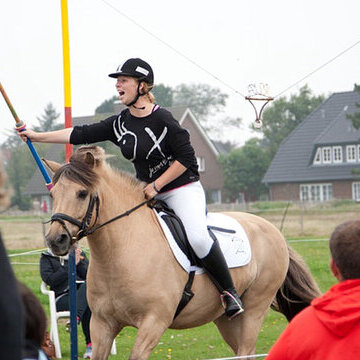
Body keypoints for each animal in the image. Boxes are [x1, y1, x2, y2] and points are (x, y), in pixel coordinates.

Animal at [44, 146, 320, 360]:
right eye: (52, 194)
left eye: (82, 193)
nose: (55, 240)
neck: (120, 253)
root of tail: (272, 229)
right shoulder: (101, 324)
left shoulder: (153, 323)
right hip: (225, 319)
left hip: (254, 310)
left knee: (246, 349)